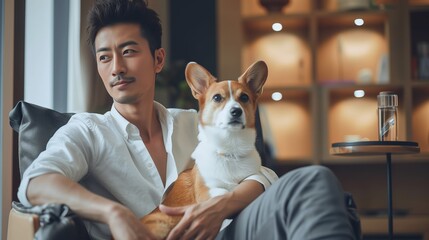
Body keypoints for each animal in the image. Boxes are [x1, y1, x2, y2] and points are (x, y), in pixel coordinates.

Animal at [140, 60, 268, 240]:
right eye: (217, 98)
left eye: (244, 97)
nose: (236, 111)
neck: (230, 150)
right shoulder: (207, 190)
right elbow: (223, 192)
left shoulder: (252, 175)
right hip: (161, 224)